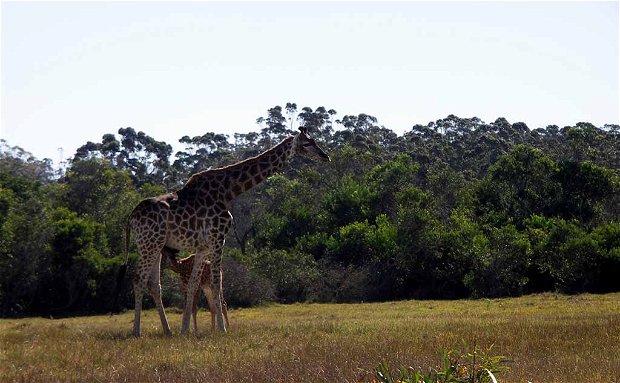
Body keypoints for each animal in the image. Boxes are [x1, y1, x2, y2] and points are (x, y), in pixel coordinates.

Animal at [120, 128, 330, 336]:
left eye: (314, 140)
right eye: (306, 143)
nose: (325, 156)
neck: (228, 190)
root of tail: (131, 216)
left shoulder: (203, 247)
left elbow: (194, 284)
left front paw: (185, 331)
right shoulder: (218, 238)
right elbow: (215, 283)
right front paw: (222, 330)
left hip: (156, 245)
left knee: (154, 284)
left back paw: (168, 331)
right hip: (149, 243)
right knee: (138, 279)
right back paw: (136, 332)